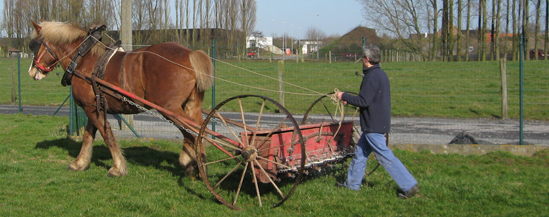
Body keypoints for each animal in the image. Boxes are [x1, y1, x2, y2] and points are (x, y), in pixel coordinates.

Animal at [27, 20, 213, 177]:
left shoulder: (91, 108)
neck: (83, 59)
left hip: (169, 109)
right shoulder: (94, 107)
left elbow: (107, 135)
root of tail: (190, 53)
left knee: (195, 130)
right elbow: (88, 136)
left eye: (34, 45)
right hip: (190, 106)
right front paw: (80, 163)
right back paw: (195, 165)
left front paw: (117, 167)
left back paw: (196, 165)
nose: (32, 71)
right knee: (197, 130)